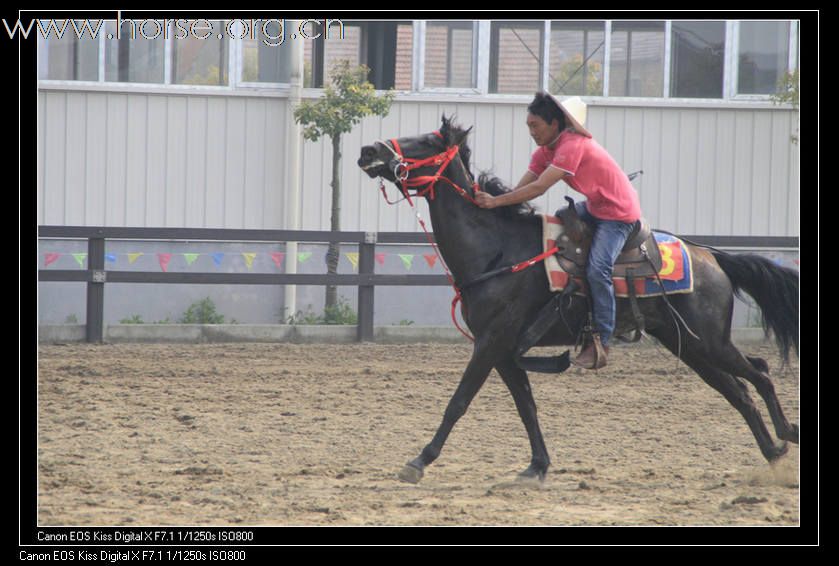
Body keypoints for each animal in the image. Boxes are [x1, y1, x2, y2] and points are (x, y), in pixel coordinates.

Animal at [356, 115, 800, 484]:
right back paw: (774, 454)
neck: (498, 250)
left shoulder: (492, 342)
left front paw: (419, 461)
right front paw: (537, 466)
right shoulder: (503, 349)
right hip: (689, 345)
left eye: (426, 141)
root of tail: (712, 257)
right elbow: (526, 407)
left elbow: (459, 400)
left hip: (708, 342)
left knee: (759, 374)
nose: (369, 150)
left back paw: (785, 435)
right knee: (739, 392)